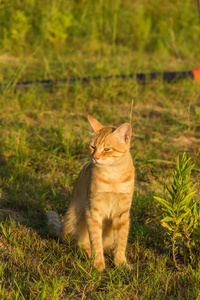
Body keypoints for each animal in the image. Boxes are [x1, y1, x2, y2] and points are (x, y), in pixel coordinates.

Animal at [47, 115, 134, 270]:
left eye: (107, 149)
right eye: (93, 147)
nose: (95, 158)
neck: (113, 176)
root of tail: (62, 231)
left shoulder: (122, 214)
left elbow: (121, 241)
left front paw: (121, 263)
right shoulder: (93, 211)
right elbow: (96, 241)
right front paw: (98, 263)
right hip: (75, 217)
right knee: (76, 243)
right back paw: (87, 253)